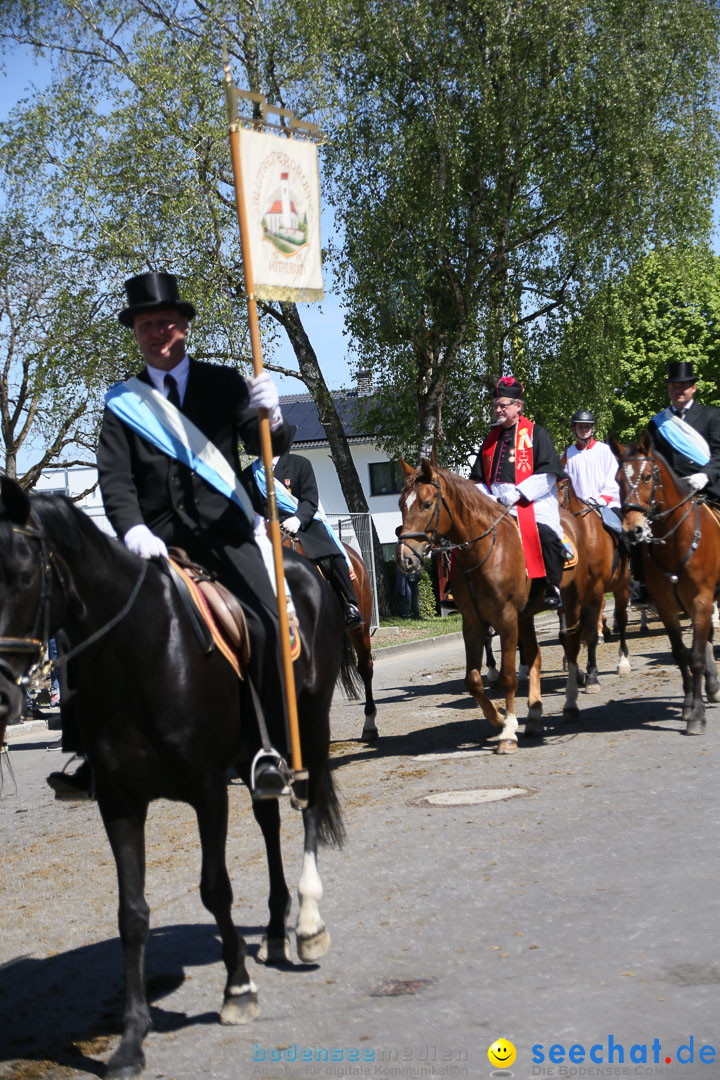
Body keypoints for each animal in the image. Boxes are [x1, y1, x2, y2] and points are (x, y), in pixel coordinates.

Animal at [0, 477, 349, 1075]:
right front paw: (131, 1038)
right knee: (269, 821)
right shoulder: (119, 801)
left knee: (305, 803)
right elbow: (132, 913)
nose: (1, 694)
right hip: (253, 755)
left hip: (310, 723)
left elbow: (215, 888)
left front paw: (238, 990)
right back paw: (275, 930)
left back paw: (306, 925)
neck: (139, 649)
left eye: (22, 575)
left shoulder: (208, 791)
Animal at [395, 457, 591, 751]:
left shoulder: (506, 618)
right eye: (401, 504)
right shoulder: (473, 622)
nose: (406, 559)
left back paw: (571, 700)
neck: (484, 551)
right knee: (535, 655)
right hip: (526, 616)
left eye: (427, 504)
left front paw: (508, 730)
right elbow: (473, 679)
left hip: (570, 601)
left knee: (572, 641)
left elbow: (509, 676)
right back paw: (534, 715)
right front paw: (498, 718)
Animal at [613, 434, 720, 738]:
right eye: (617, 479)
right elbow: (681, 653)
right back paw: (711, 686)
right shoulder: (667, 605)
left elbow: (696, 656)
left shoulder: (701, 600)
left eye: (648, 476)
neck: (675, 541)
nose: (633, 530)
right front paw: (689, 704)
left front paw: (697, 716)